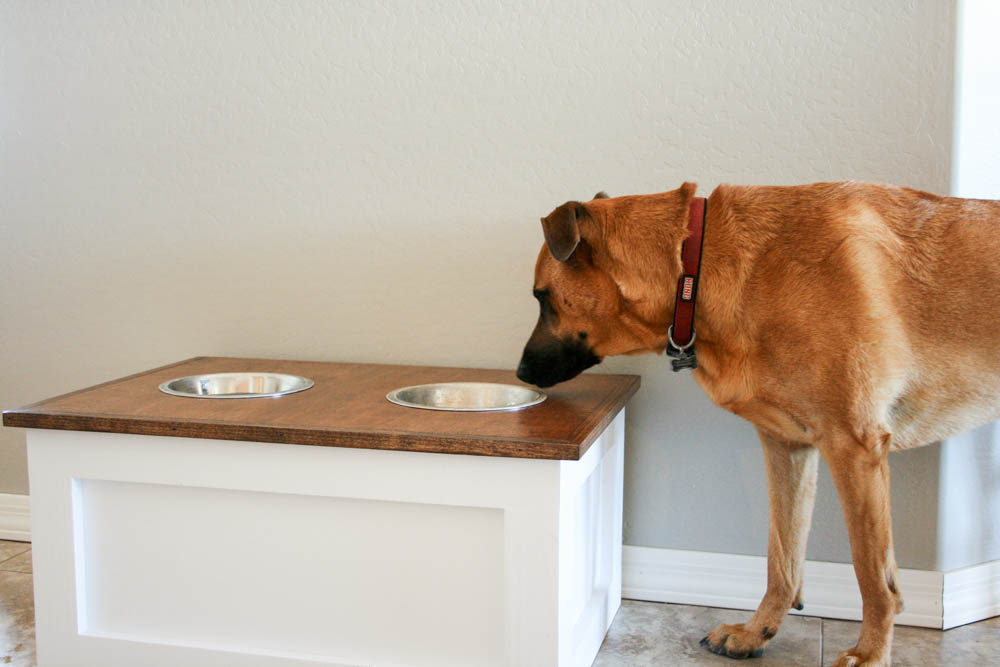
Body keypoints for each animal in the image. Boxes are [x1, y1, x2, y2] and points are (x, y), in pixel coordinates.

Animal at [516, 183, 1000, 667]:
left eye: (541, 296)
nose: (520, 373)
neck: (695, 268)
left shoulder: (855, 449)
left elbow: (872, 574)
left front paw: (870, 653)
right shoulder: (787, 446)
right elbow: (782, 556)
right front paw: (756, 631)